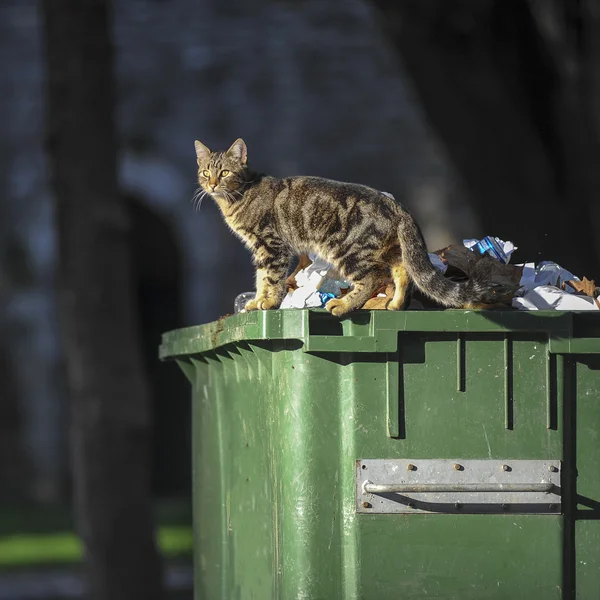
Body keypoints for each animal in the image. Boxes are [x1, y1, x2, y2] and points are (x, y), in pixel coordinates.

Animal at [195, 138, 490, 316]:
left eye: (224, 173)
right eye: (205, 172)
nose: (212, 184)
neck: (238, 197)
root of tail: (395, 203)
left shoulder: (272, 246)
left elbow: (271, 279)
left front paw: (267, 302)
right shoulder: (260, 250)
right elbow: (260, 278)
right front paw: (257, 301)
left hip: (348, 250)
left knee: (373, 278)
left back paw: (345, 304)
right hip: (389, 250)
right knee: (402, 271)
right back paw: (394, 304)